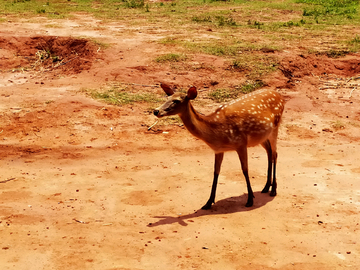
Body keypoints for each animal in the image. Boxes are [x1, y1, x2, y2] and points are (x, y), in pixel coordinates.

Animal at [153, 84, 286, 209]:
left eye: (176, 101)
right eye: (167, 97)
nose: (156, 111)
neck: (216, 132)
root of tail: (281, 96)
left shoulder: (241, 143)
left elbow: (245, 170)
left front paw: (250, 199)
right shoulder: (218, 150)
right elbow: (216, 172)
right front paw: (208, 203)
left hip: (275, 127)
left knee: (275, 154)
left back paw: (273, 190)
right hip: (262, 136)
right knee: (269, 152)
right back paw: (266, 187)